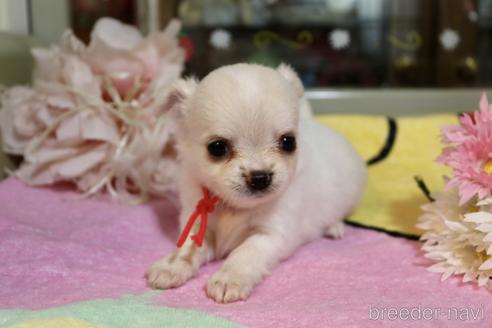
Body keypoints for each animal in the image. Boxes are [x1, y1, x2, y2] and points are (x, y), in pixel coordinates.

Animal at [148, 62, 368, 304]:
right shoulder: (198, 221)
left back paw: (334, 226)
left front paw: (229, 279)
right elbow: (188, 246)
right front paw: (171, 266)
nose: (260, 177)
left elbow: (245, 252)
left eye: (288, 142)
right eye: (217, 148)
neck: (234, 208)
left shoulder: (270, 235)